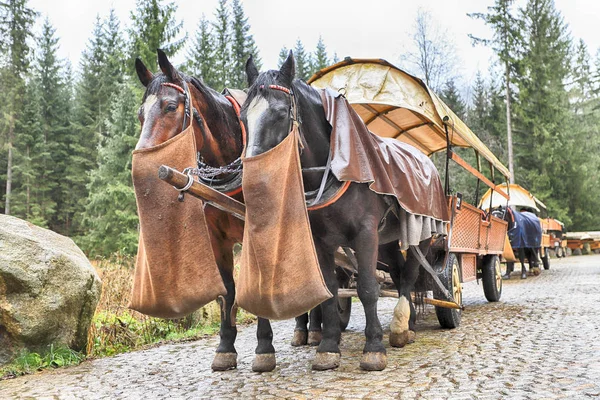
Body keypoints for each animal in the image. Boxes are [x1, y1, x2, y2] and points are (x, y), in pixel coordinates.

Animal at [133, 49, 274, 372]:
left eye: (171, 106)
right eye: (140, 114)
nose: (142, 164)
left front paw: (264, 347)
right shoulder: (215, 238)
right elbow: (227, 290)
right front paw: (225, 347)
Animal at [239, 53, 440, 372]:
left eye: (281, 113)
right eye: (243, 116)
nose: (253, 181)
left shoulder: (366, 233)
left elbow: (368, 288)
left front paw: (374, 348)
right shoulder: (321, 241)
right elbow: (331, 291)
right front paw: (328, 347)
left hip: (420, 234)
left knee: (408, 277)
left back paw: (401, 326)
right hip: (388, 241)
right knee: (397, 275)